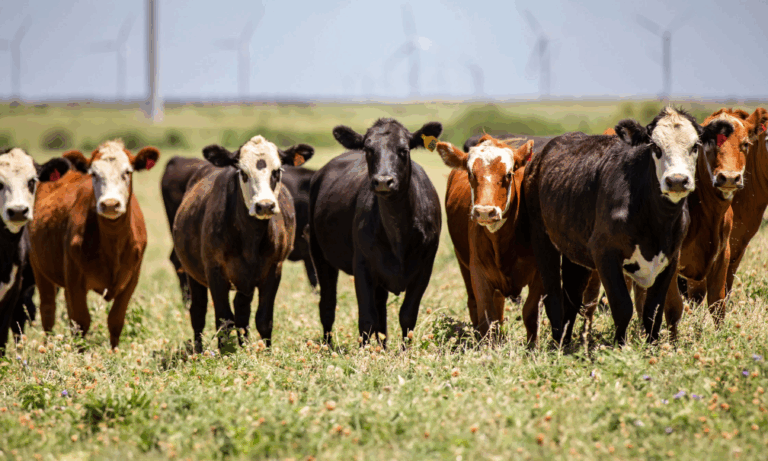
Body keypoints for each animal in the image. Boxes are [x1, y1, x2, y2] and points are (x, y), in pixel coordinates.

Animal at [28, 140, 159, 348]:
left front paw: (114, 352)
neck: (113, 243)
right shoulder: (74, 278)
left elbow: (115, 320)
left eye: (127, 172)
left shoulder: (132, 278)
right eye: (94, 174)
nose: (110, 204)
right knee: (48, 311)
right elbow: (81, 322)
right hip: (39, 268)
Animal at [309, 118, 442, 346]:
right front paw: (364, 352)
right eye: (368, 149)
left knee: (381, 312)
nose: (383, 181)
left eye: (404, 150)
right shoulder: (362, 265)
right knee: (327, 305)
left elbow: (407, 315)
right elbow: (367, 319)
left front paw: (404, 351)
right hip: (319, 254)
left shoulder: (425, 267)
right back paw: (328, 346)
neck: (398, 234)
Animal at [438, 135, 544, 344]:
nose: (485, 211)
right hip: (463, 263)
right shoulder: (479, 273)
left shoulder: (539, 274)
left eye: (509, 174)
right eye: (470, 173)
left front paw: (532, 347)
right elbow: (486, 316)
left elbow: (530, 312)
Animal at [524, 107, 733, 346]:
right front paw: (620, 346)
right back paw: (558, 343)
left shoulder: (671, 259)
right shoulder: (605, 254)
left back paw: (566, 343)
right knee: (554, 298)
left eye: (695, 146)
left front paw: (652, 346)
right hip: (543, 240)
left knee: (571, 298)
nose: (677, 180)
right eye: (655, 147)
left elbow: (653, 310)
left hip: (574, 252)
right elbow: (623, 306)